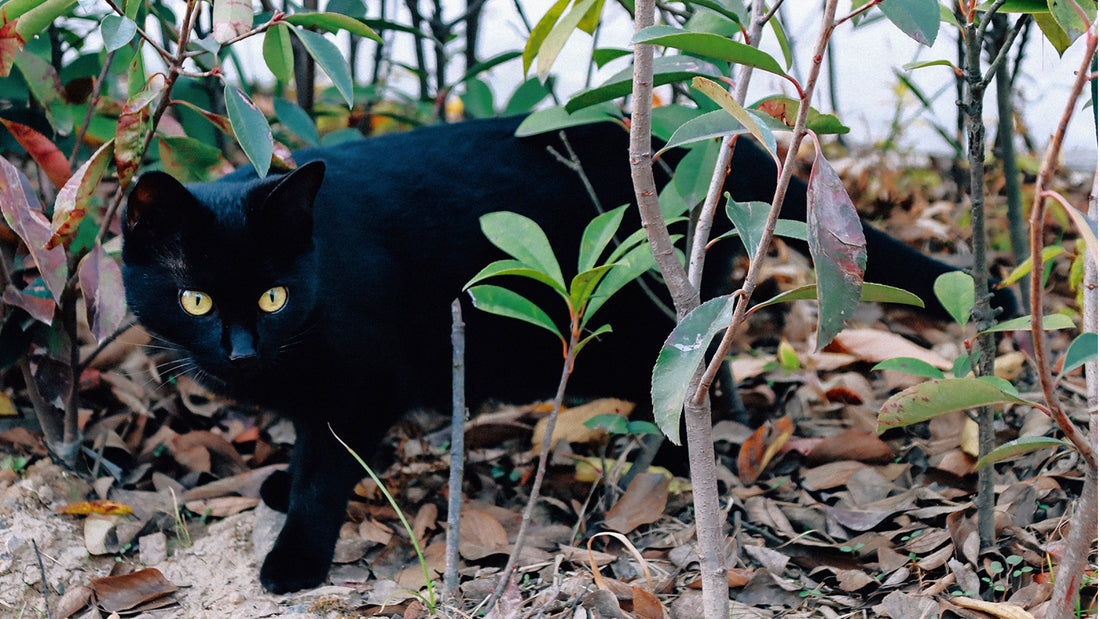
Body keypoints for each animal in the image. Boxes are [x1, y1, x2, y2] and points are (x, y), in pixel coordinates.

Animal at [122, 113, 1012, 593]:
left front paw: (295, 554)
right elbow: (306, 444)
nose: (240, 352)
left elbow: (324, 468)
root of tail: (732, 143)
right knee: (711, 373)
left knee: (682, 383)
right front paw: (278, 478)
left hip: (646, 316)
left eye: (273, 296)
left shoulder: (360, 383)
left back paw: (660, 466)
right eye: (196, 300)